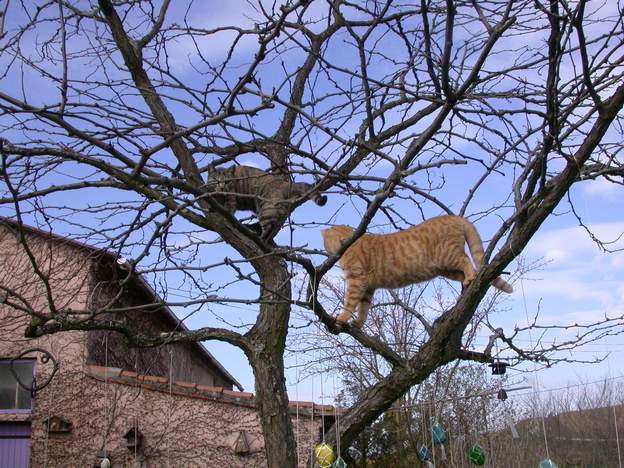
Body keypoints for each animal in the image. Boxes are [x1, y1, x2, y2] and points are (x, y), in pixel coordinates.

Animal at [322, 217, 512, 330]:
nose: (329, 252)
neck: (348, 243)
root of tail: (454, 216)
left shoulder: (356, 279)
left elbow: (350, 302)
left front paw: (343, 317)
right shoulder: (369, 287)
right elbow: (364, 308)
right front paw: (359, 323)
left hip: (449, 255)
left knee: (466, 261)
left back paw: (471, 278)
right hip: (445, 269)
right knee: (463, 271)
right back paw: (467, 280)